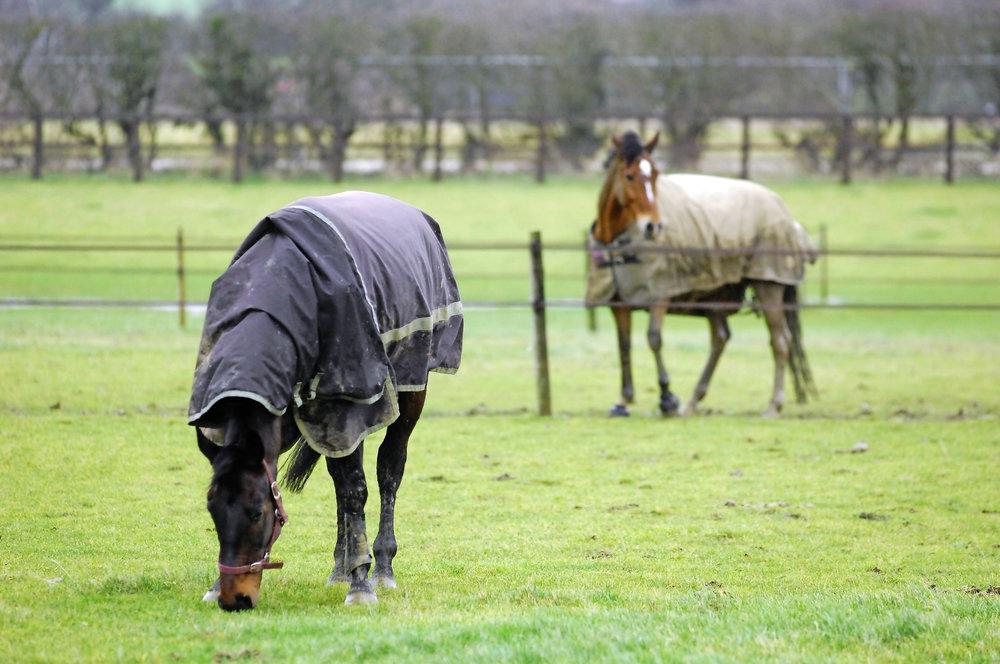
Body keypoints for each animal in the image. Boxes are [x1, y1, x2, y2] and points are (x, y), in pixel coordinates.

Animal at [189, 191, 462, 608]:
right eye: (212, 510)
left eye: (257, 513)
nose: (236, 600)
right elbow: (345, 486)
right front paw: (214, 585)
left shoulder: (344, 408)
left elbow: (357, 489)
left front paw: (362, 585)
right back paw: (340, 568)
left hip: (407, 393)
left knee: (388, 470)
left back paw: (382, 567)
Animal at [588, 132, 816, 418]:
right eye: (629, 176)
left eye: (655, 174)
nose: (653, 226)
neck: (619, 242)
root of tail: (784, 212)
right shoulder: (618, 302)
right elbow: (624, 345)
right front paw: (623, 400)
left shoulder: (660, 295)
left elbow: (654, 339)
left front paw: (667, 398)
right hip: (717, 294)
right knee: (721, 338)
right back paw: (693, 401)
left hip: (768, 286)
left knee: (780, 341)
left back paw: (773, 405)